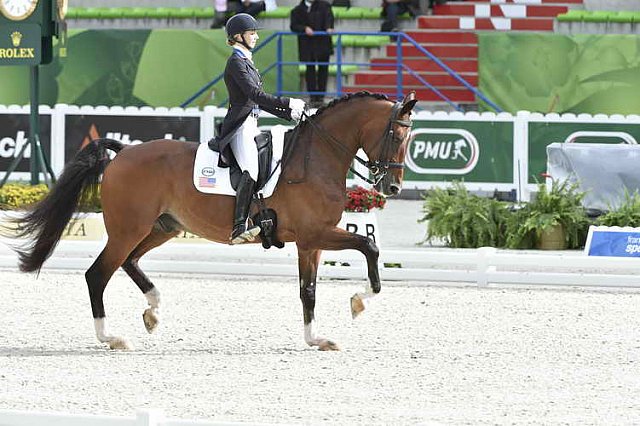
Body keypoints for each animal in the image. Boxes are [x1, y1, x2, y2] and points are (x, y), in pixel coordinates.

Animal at [13, 91, 420, 352]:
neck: (316, 156)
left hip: (162, 227)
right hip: (129, 229)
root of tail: (124, 152)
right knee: (98, 274)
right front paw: (359, 301)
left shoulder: (311, 242)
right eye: (396, 134)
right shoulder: (315, 234)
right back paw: (110, 338)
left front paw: (317, 339)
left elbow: (309, 291)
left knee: (130, 262)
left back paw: (152, 312)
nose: (394, 186)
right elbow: (369, 245)